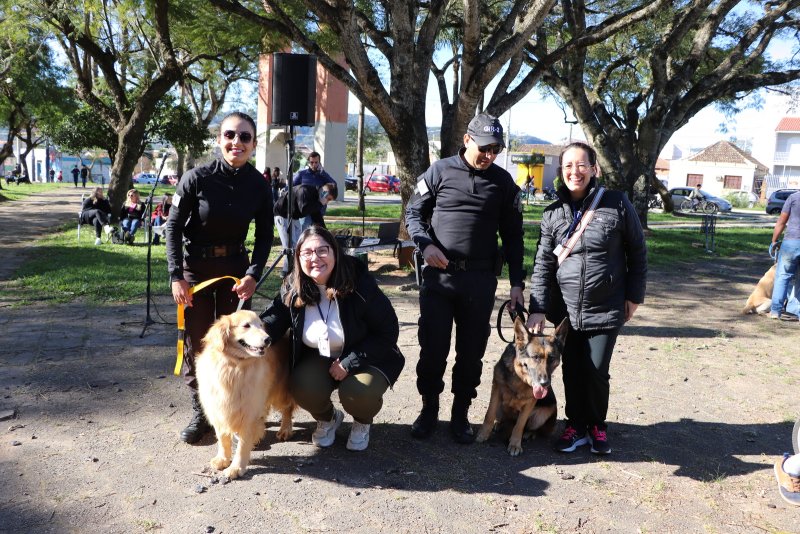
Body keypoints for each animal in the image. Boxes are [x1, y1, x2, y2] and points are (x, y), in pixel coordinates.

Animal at [196, 310, 296, 482]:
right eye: (246, 325)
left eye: (261, 325)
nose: (268, 339)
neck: (233, 366)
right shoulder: (218, 408)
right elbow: (222, 438)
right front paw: (222, 459)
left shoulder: (248, 414)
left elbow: (242, 446)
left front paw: (236, 468)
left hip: (280, 391)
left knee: (287, 408)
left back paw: (285, 429)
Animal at [476, 316, 568, 458]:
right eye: (535, 357)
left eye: (552, 358)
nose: (544, 383)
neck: (520, 378)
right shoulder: (496, 390)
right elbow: (489, 415)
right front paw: (483, 434)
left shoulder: (530, 403)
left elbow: (519, 425)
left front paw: (515, 444)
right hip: (501, 408)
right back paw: (499, 424)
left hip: (545, 412)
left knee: (533, 428)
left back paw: (529, 434)